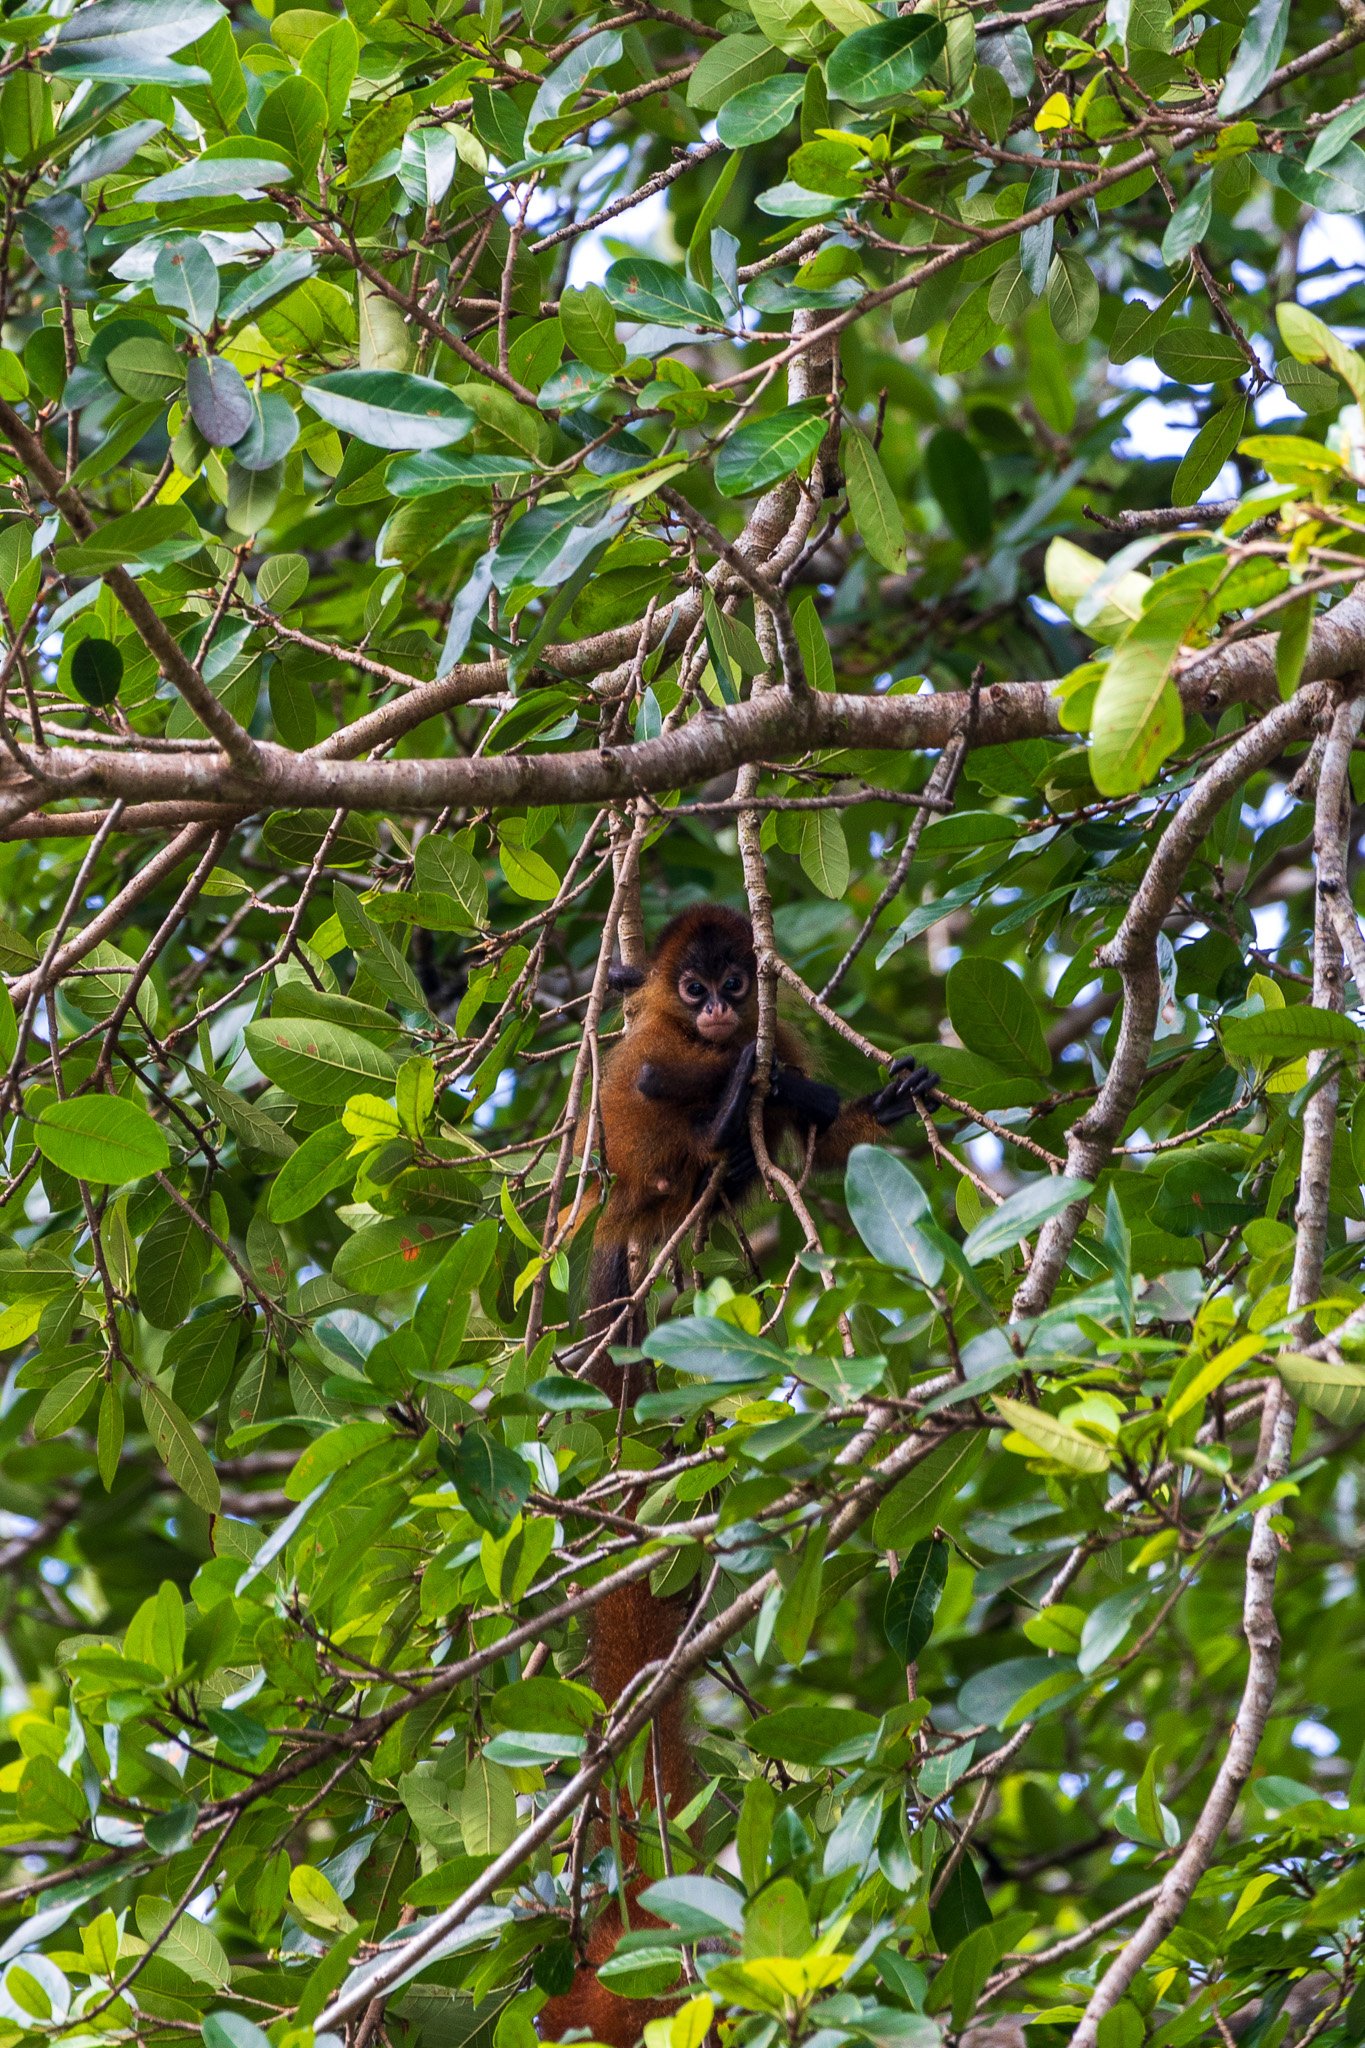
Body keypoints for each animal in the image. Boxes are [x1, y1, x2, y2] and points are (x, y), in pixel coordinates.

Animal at [536, 913, 941, 2048]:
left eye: (732, 978)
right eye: (697, 984)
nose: (721, 1006)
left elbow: (824, 1128)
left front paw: (871, 1102)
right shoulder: (656, 1042)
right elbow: (646, 1065)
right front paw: (735, 1088)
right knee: (656, 1092)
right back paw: (723, 1123)